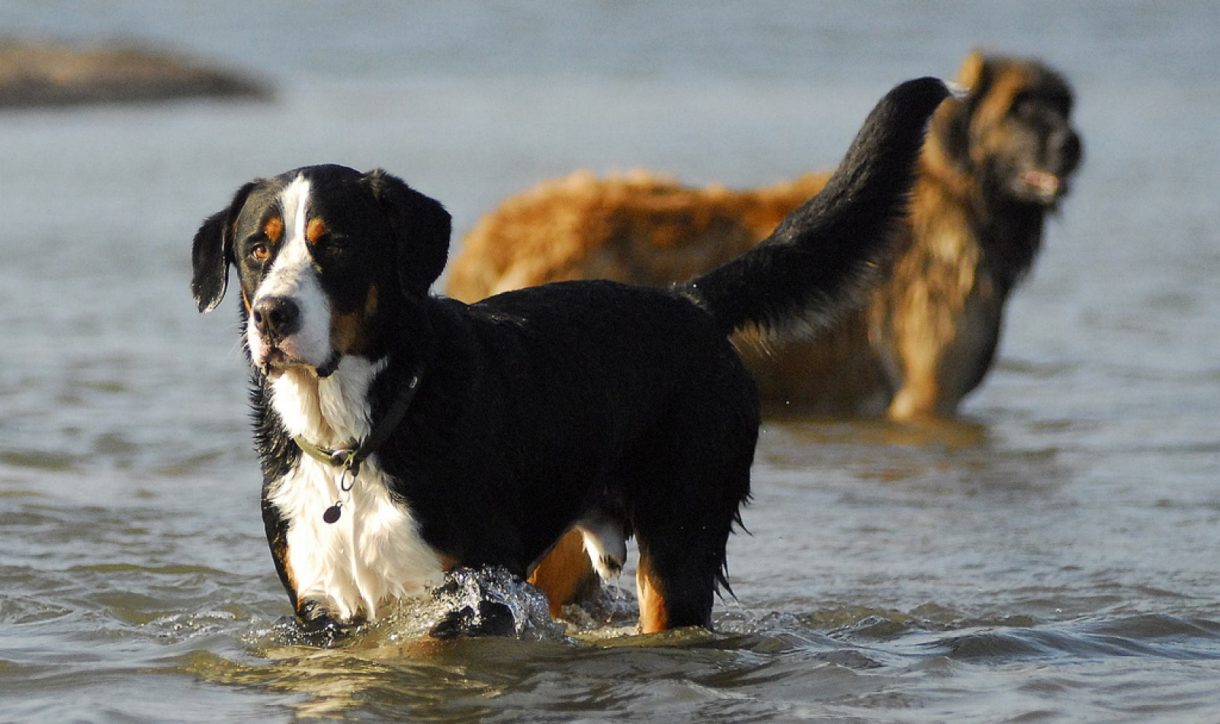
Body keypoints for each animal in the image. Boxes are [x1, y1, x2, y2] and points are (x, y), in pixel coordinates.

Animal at [192, 79, 951, 634]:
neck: (354, 438)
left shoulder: (474, 595)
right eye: (257, 249)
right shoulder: (321, 608)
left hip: (680, 541)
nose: (272, 315)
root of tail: (688, 301)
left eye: (336, 245)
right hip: (559, 560)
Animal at [453, 53, 1083, 419]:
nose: (1072, 145)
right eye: (1020, 108)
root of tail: (498, 231)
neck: (961, 194)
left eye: (1064, 105)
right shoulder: (926, 398)